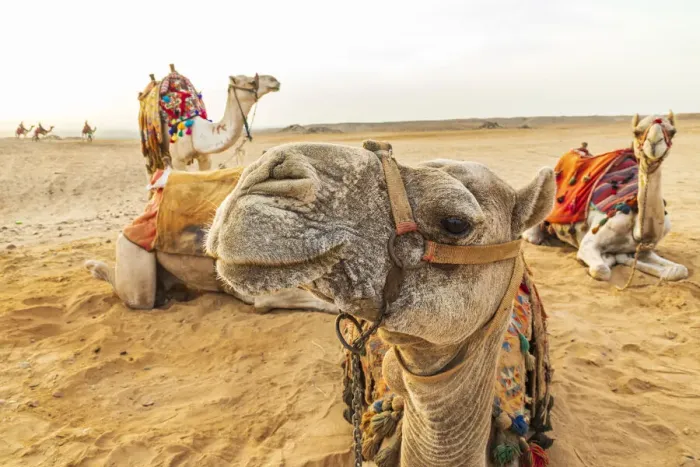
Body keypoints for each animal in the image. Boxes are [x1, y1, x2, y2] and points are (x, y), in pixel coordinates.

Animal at [138, 64, 280, 175]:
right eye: (251, 82)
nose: (275, 80)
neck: (195, 131)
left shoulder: (205, 158)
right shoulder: (179, 161)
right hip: (152, 150)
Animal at [522, 112, 688, 282]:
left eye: (673, 131)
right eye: (636, 132)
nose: (654, 144)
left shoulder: (645, 249)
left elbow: (678, 270)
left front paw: (623, 257)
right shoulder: (590, 242)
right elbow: (602, 269)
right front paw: (605, 258)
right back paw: (542, 238)